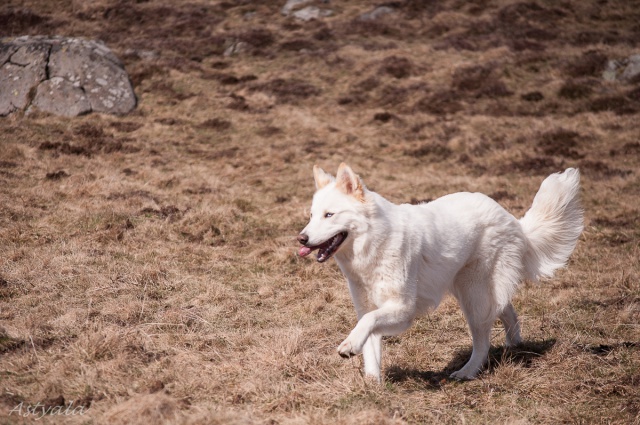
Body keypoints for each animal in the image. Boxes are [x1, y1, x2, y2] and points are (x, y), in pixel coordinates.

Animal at [298, 163, 584, 380]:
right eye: (311, 216)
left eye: (329, 215)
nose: (301, 239)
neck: (374, 243)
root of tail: (514, 221)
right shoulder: (367, 306)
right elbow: (369, 341)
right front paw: (372, 383)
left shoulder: (403, 309)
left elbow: (368, 324)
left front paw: (349, 346)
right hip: (475, 291)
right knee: (506, 309)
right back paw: (515, 344)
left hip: (473, 297)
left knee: (483, 341)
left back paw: (467, 372)